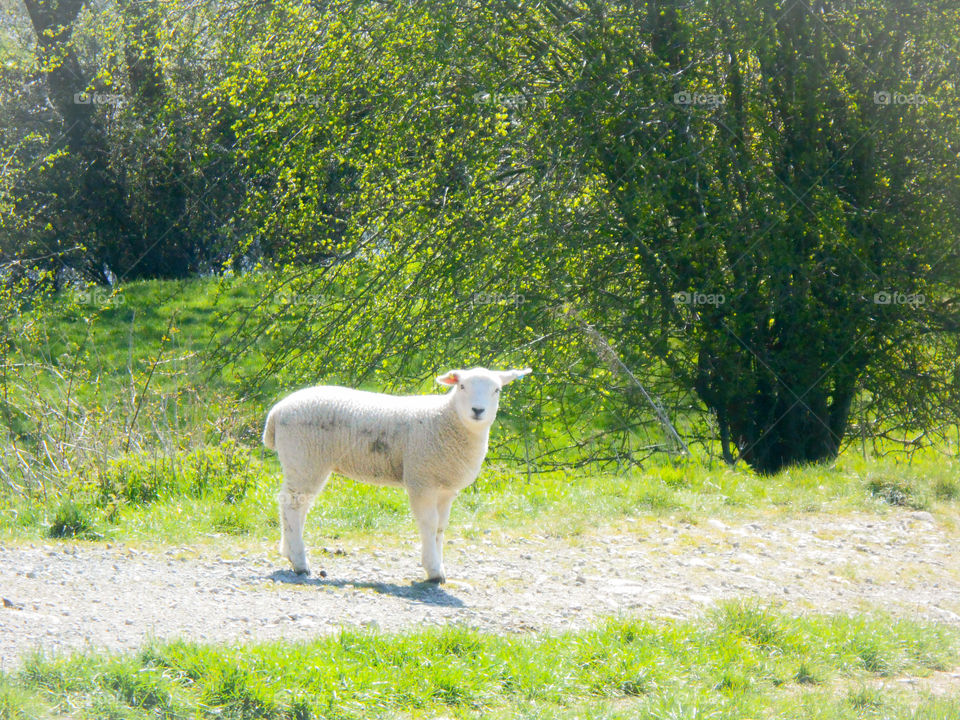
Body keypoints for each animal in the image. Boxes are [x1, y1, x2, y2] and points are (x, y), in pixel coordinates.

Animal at [260, 368, 532, 584]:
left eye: (497, 389)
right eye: (462, 386)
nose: (478, 410)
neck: (445, 419)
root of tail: (277, 412)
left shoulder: (446, 488)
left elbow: (441, 527)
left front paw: (439, 565)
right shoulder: (421, 480)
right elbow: (428, 524)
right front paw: (433, 572)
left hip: (306, 462)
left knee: (296, 506)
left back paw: (289, 551)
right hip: (304, 458)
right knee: (293, 506)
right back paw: (300, 562)